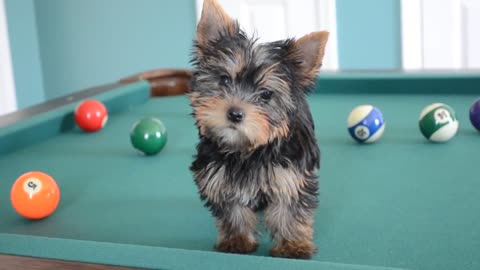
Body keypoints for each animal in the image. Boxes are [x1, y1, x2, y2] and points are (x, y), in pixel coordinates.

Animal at [189, 0, 328, 260]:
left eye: (266, 94)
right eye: (224, 79)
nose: (235, 113)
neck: (248, 151)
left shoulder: (289, 173)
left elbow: (289, 209)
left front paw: (292, 245)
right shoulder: (220, 175)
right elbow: (232, 210)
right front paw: (237, 240)